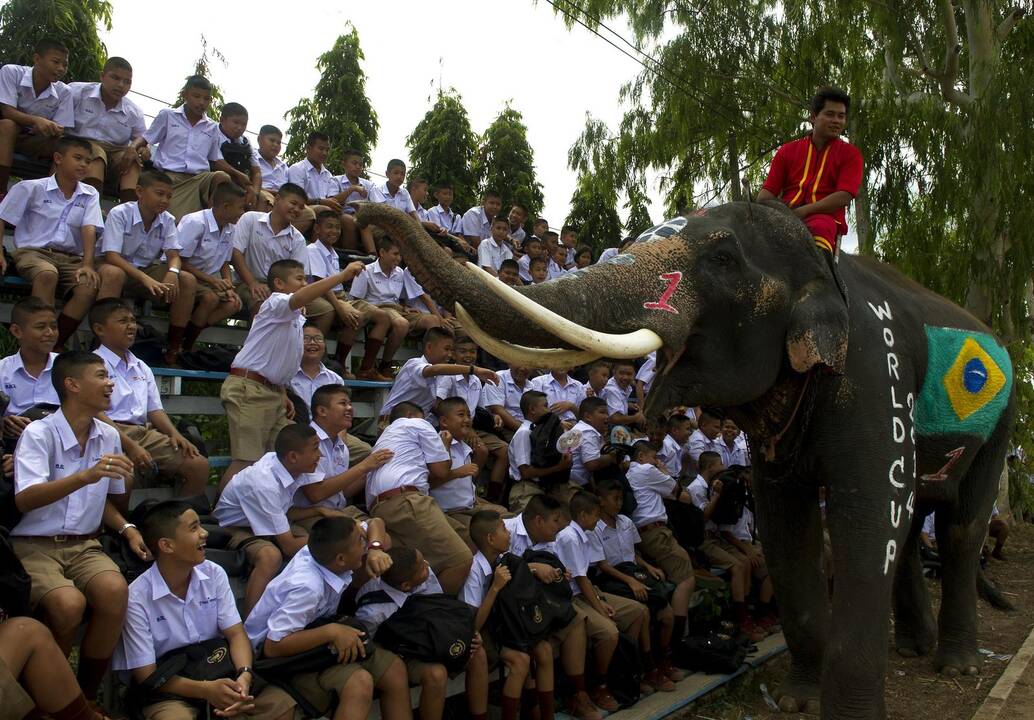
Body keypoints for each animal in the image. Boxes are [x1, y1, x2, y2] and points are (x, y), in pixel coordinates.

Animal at [357, 199, 1017, 720]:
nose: (367, 215)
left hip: (1005, 419)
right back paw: (915, 649)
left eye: (723, 260)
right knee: (923, 521)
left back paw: (956, 664)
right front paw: (798, 702)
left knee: (958, 527)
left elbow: (870, 524)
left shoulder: (878, 380)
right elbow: (786, 530)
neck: (818, 257)